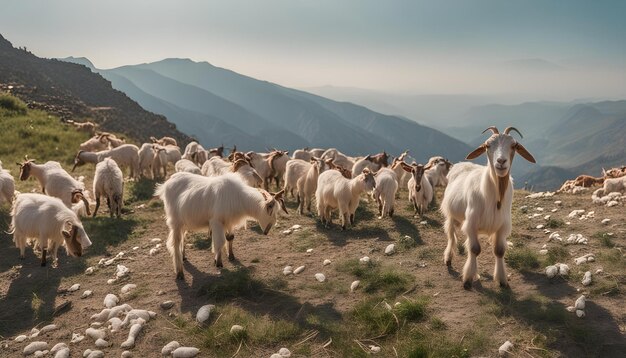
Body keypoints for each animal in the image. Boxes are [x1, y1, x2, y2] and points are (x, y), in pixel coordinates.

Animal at [155, 172, 286, 278]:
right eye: (270, 209)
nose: (267, 230)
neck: (240, 198)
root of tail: (166, 184)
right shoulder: (216, 221)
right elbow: (220, 241)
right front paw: (218, 262)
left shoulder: (228, 221)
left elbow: (230, 238)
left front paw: (231, 256)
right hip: (175, 221)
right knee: (175, 243)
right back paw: (179, 272)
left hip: (184, 222)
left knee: (182, 238)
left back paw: (183, 257)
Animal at [438, 126, 536, 288]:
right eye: (487, 145)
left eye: (514, 145)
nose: (501, 161)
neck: (494, 197)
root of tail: (461, 164)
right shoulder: (471, 223)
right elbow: (474, 249)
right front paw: (467, 279)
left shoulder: (502, 226)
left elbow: (499, 251)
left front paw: (502, 280)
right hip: (451, 215)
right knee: (451, 236)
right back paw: (448, 258)